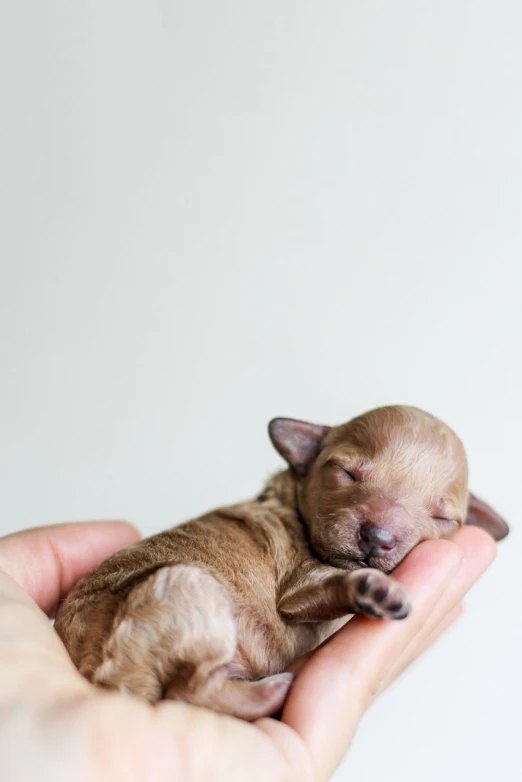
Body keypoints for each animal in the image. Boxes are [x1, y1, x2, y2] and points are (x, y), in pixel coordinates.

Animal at [54, 410, 506, 724]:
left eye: (443, 518)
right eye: (345, 473)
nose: (377, 537)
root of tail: (101, 674)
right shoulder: (300, 585)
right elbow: (330, 584)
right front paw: (373, 589)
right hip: (190, 588)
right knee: (189, 690)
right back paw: (273, 691)